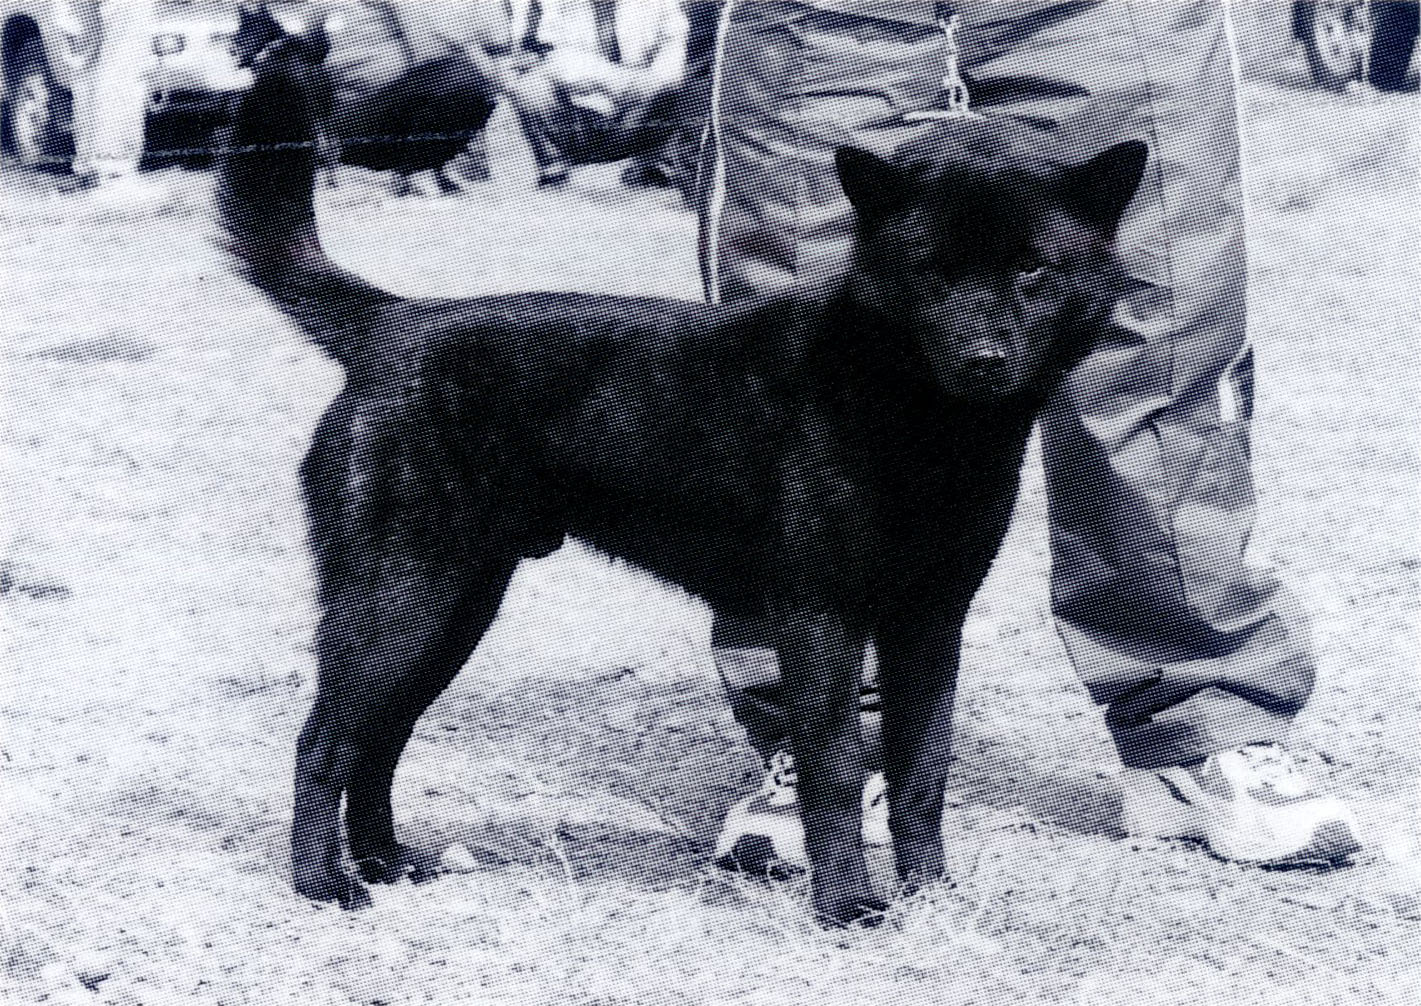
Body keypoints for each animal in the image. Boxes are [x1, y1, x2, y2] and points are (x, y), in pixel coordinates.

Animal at [218, 31, 1147, 928]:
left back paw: (386, 862)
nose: (982, 359)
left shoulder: (929, 623)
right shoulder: (819, 617)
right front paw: (847, 905)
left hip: (454, 609)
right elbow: (837, 770)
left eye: (1030, 267)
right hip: (399, 603)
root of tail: (390, 324)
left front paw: (932, 893)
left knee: (379, 740)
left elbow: (923, 771)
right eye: (932, 271)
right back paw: (324, 884)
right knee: (323, 742)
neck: (914, 418)